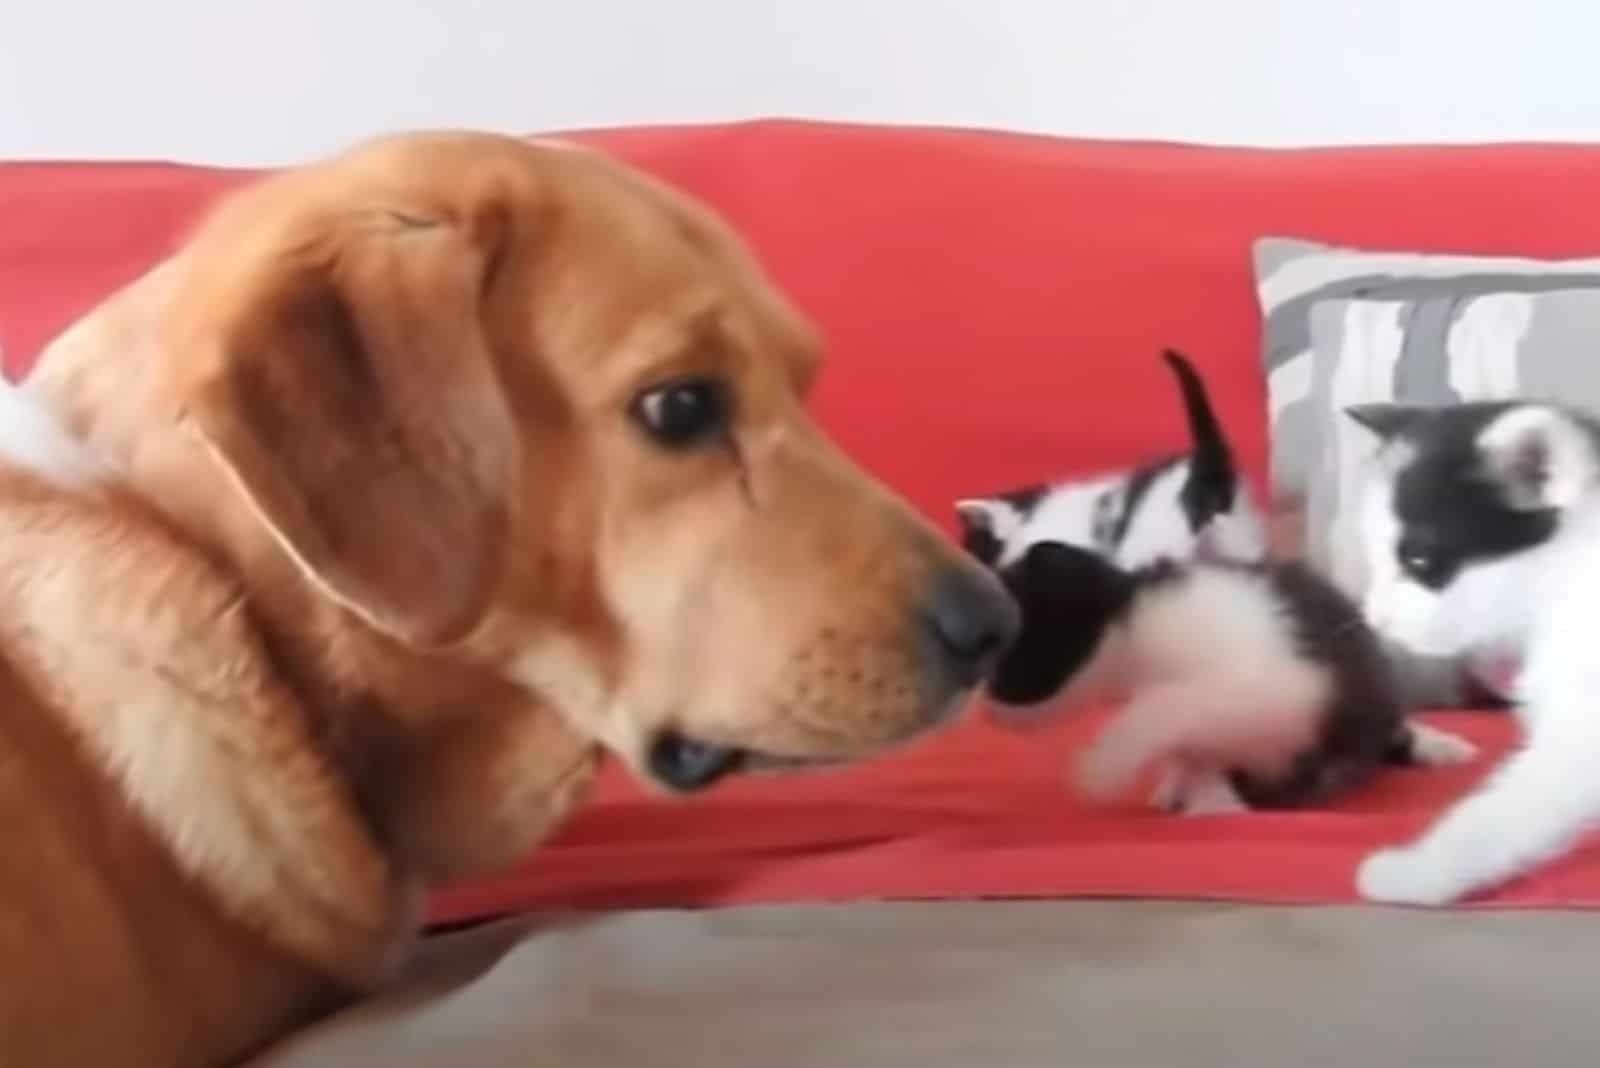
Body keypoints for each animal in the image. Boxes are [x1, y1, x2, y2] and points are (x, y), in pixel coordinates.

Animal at [979, 546, 1478, 812]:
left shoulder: (1272, 688)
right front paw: (1183, 793)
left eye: (1008, 662)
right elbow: (1190, 750)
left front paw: (1104, 766)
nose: (987, 712)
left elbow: (1164, 711)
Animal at [1344, 398, 1600, 901]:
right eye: (1376, 557)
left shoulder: (1582, 731)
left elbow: (1503, 813)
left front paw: (1419, 872)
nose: (1374, 618)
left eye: (1420, 560)